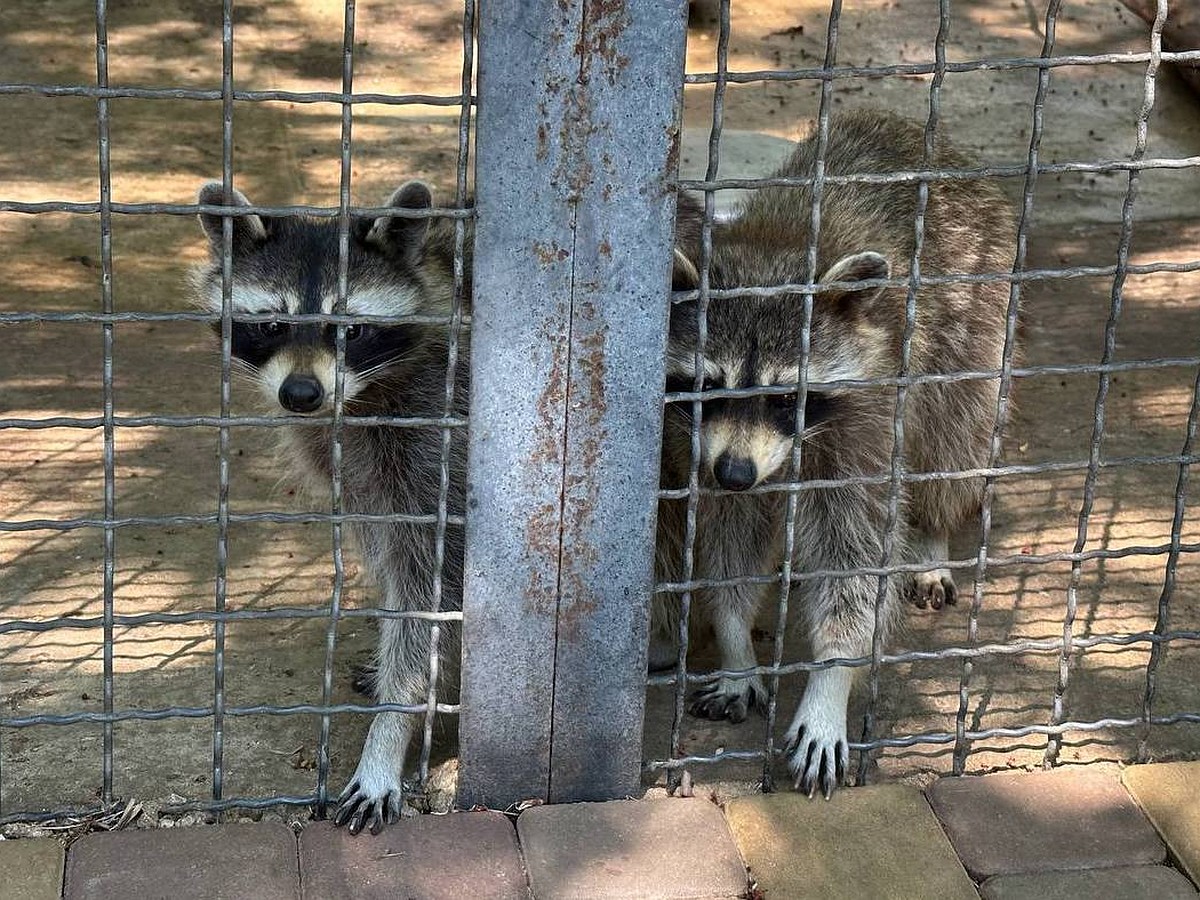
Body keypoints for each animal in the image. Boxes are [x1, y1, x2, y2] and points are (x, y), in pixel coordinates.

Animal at [193, 180, 468, 835]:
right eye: (272, 324)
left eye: (353, 332)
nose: (301, 394)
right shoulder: (357, 466)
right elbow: (392, 561)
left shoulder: (442, 437)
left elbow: (432, 585)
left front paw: (392, 729)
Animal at [662, 111, 1017, 796]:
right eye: (709, 387)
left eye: (784, 397)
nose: (735, 473)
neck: (773, 247)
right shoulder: (701, 448)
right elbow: (731, 540)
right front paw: (736, 642)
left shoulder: (868, 422)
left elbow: (856, 557)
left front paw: (831, 680)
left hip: (977, 320)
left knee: (952, 443)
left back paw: (933, 538)